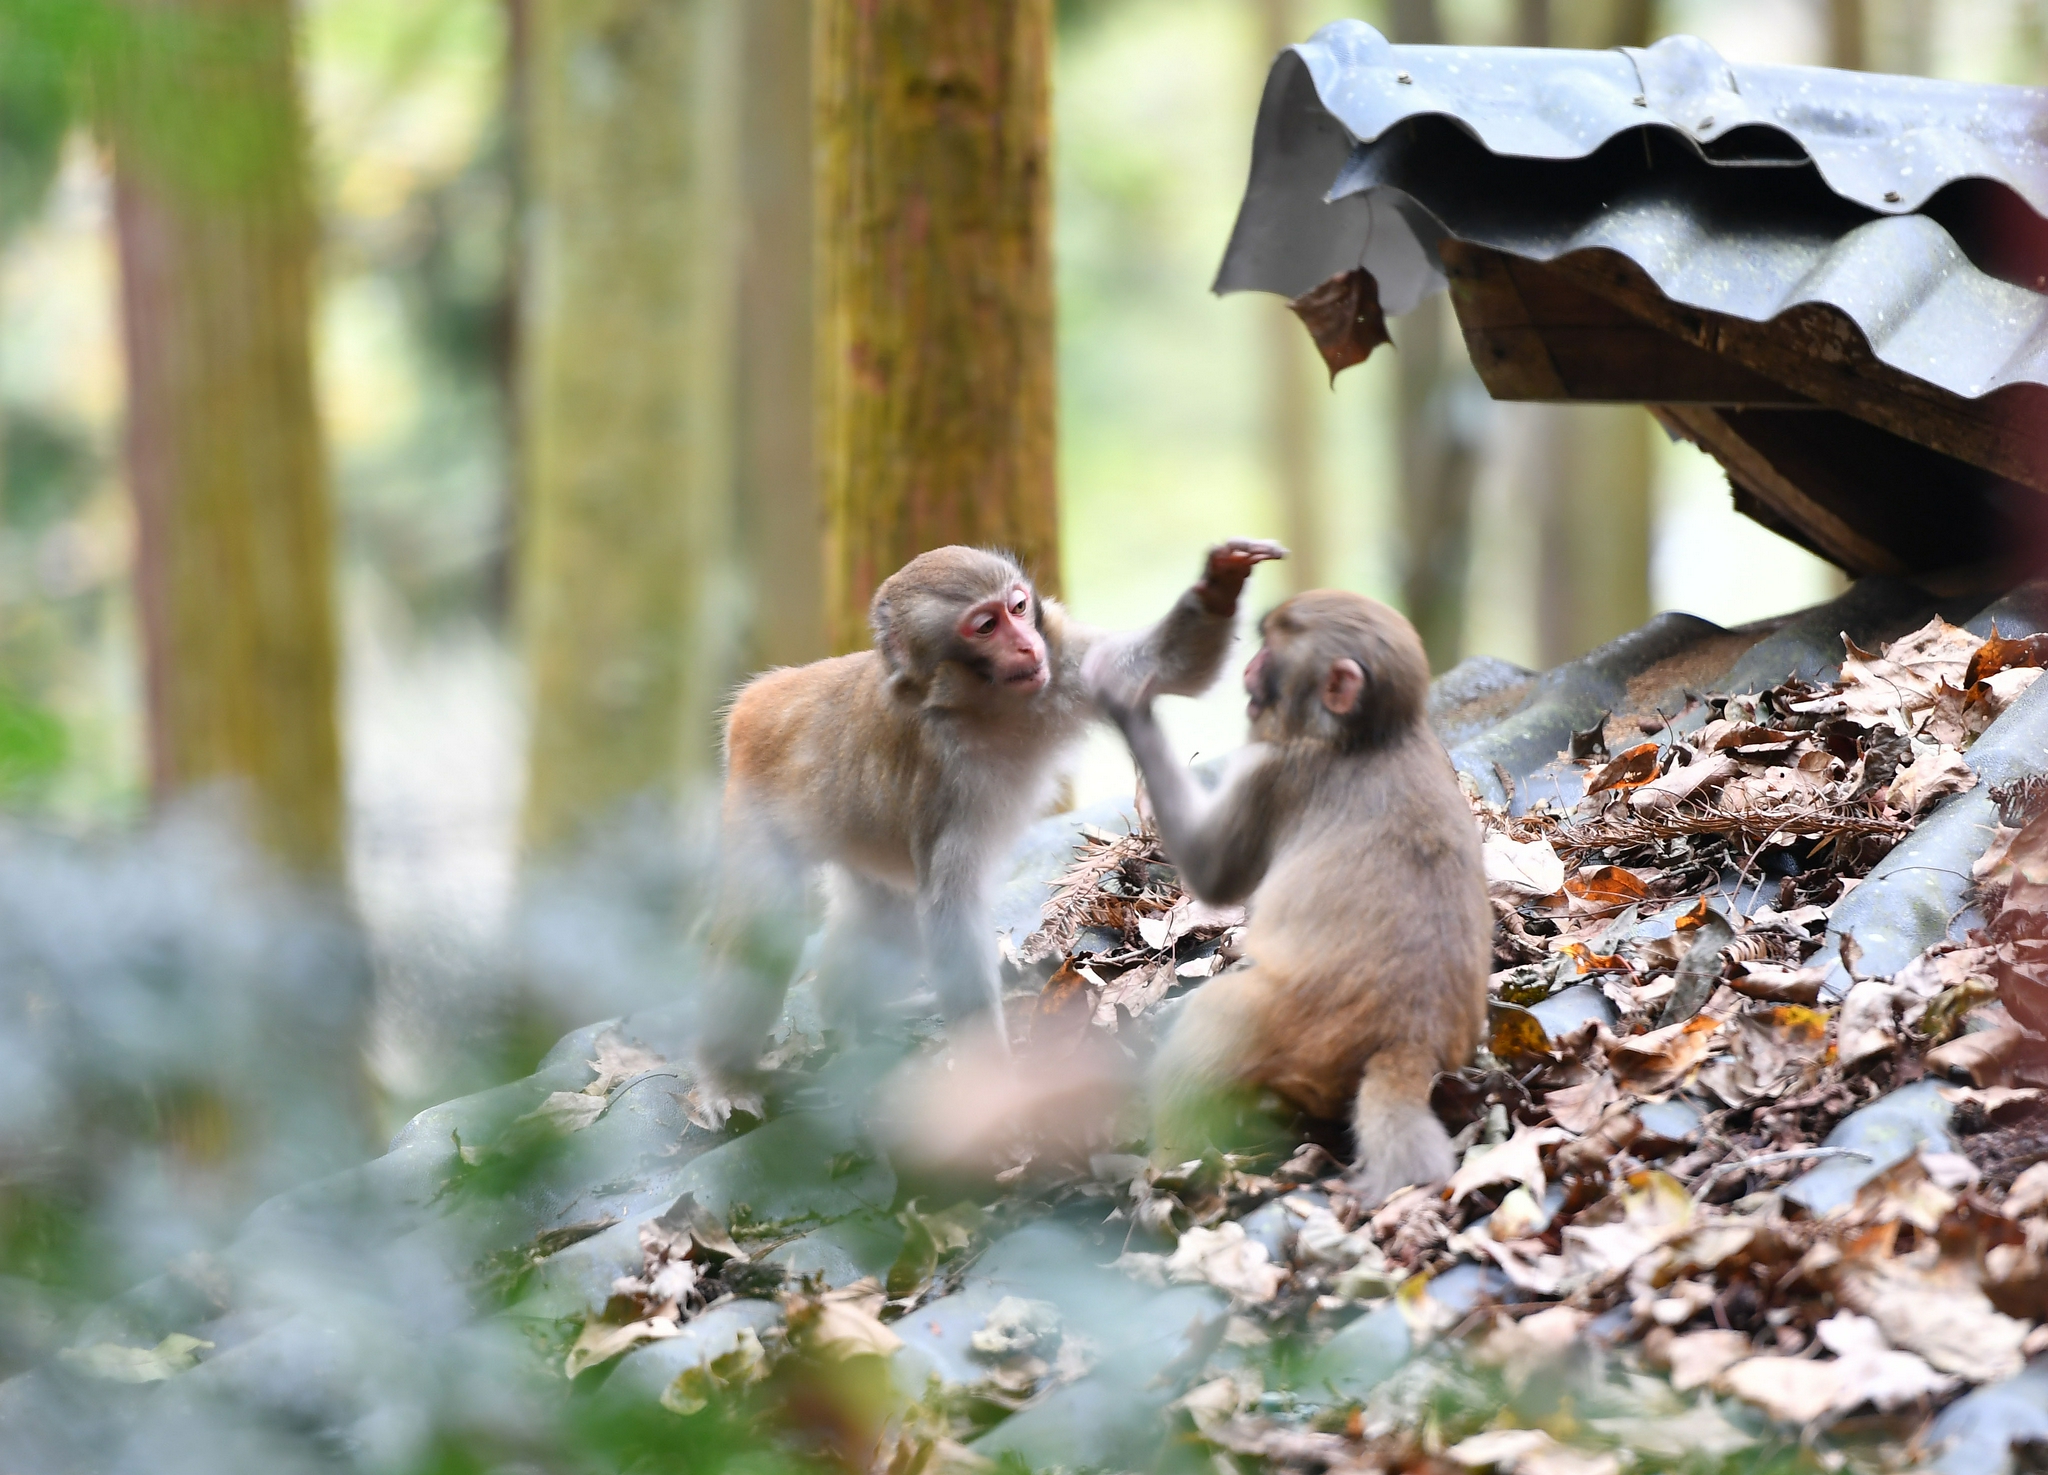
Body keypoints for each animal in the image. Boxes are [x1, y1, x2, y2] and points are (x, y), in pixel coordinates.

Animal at [696, 536, 1286, 1114]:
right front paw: (993, 1075)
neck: (989, 703)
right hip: (754, 808)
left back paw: (856, 1015)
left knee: (886, 919)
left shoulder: (1063, 660)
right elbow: (951, 909)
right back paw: (724, 1076)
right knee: (762, 929)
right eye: (985, 627)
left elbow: (1162, 668)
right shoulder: (941, 768)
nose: (1026, 646)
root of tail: (764, 697)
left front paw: (1220, 584)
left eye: (1019, 608)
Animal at [1089, 585, 1490, 1196]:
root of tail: (1414, 1038)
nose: (1248, 670)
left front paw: (1126, 700)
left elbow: (1213, 874)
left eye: (1271, 651)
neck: (1365, 738)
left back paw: (1168, 1164)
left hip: (1294, 1029)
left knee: (1220, 1014)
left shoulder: (1273, 773)